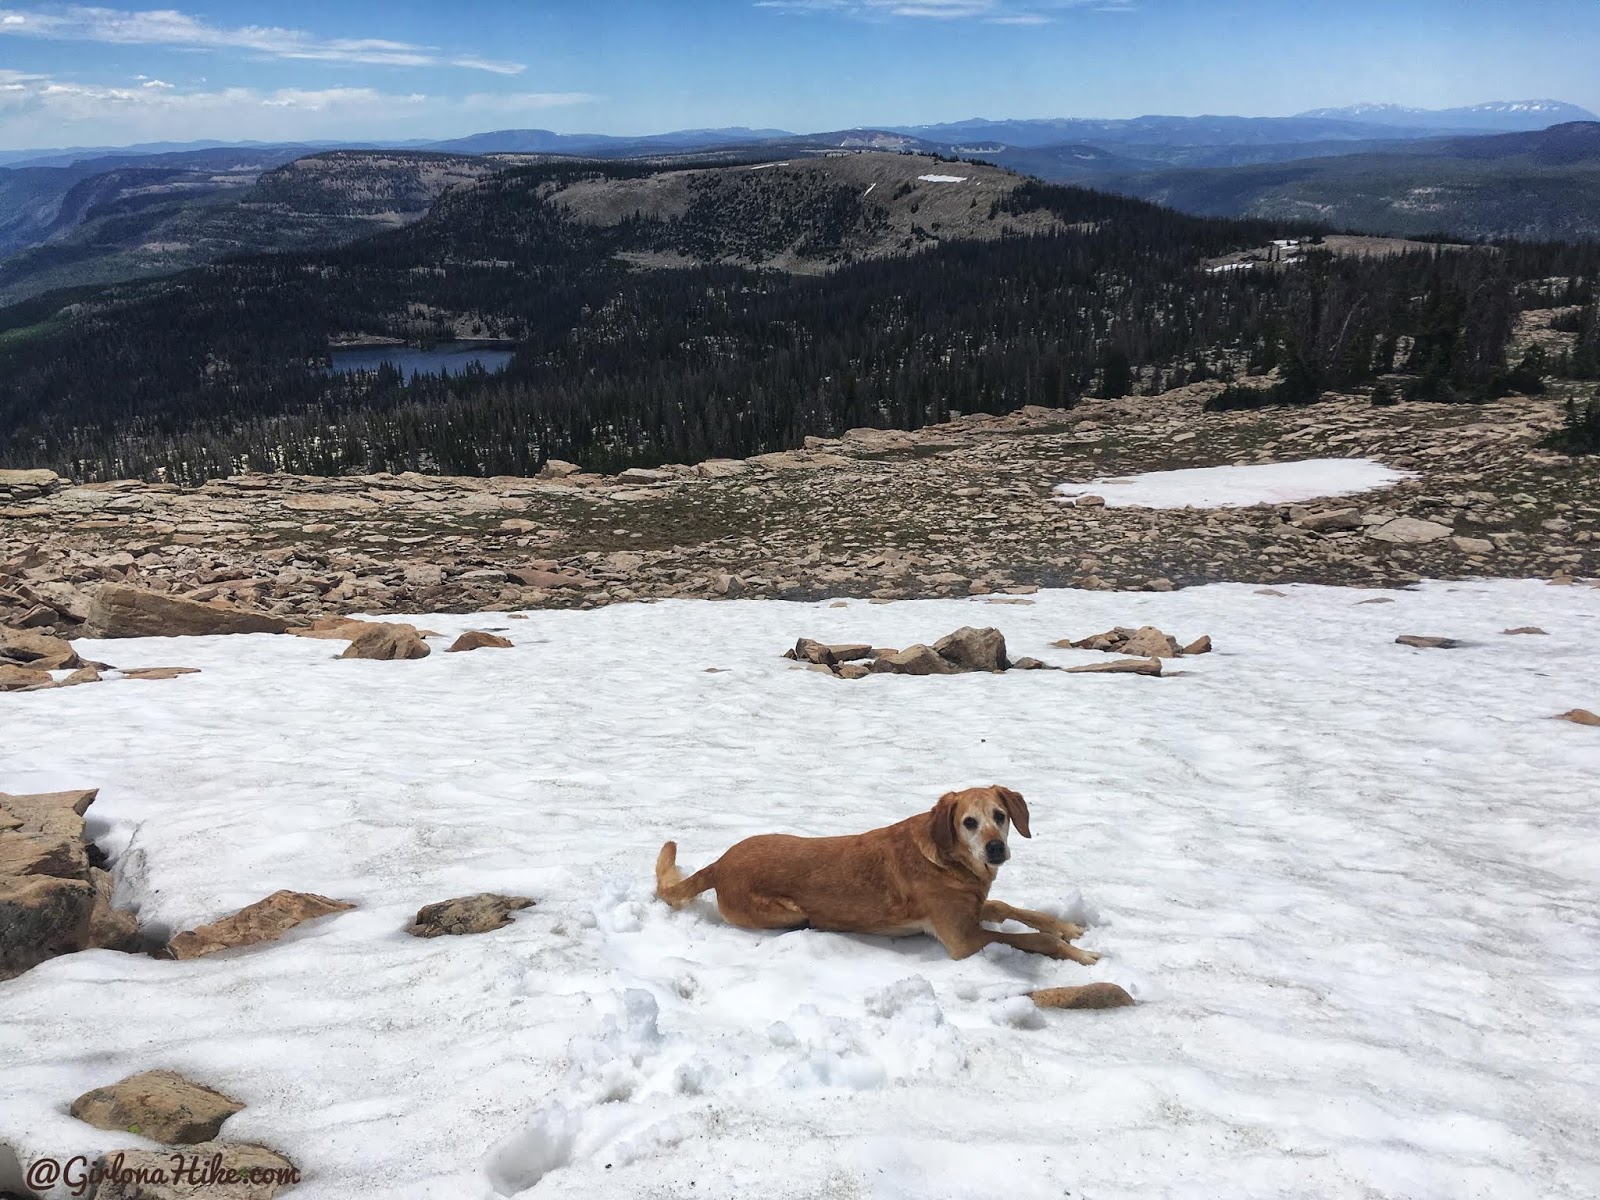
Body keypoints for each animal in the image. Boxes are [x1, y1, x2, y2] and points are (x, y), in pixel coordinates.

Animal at [656, 784, 1132, 1011]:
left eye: (1000, 816)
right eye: (969, 822)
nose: (996, 849)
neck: (949, 858)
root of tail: (719, 863)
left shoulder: (975, 908)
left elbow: (1016, 909)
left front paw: (1068, 926)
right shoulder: (965, 941)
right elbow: (1032, 938)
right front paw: (1080, 954)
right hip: (788, 915)